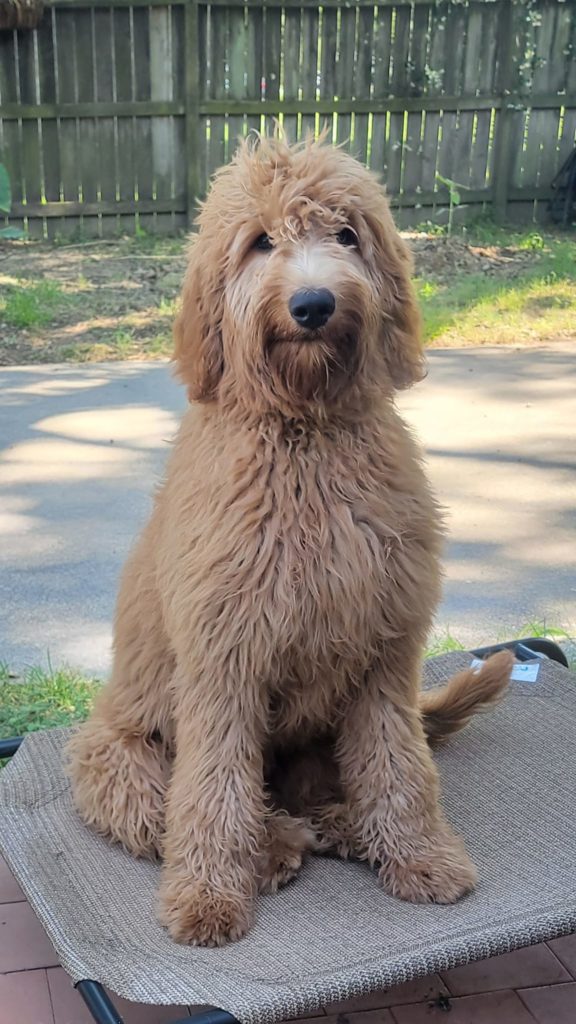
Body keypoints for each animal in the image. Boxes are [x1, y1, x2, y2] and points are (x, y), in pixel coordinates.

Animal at [67, 136, 510, 942]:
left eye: (347, 235)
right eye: (261, 242)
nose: (313, 304)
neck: (304, 438)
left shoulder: (385, 657)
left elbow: (400, 766)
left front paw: (422, 856)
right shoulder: (221, 666)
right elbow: (212, 789)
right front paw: (209, 896)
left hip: (318, 740)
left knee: (329, 787)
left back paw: (342, 827)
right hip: (118, 758)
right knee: (173, 809)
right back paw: (272, 847)